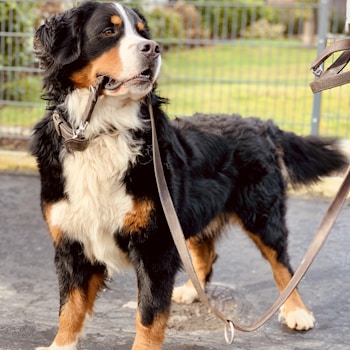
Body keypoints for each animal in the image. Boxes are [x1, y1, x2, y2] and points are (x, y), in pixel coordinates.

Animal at [31, 1, 348, 348]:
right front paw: (61, 344)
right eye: (108, 31)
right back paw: (191, 291)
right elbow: (70, 307)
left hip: (261, 215)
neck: (101, 132)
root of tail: (258, 123)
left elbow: (149, 315)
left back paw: (296, 311)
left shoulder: (155, 246)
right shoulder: (72, 241)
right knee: (207, 253)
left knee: (284, 266)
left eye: (142, 33)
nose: (153, 48)